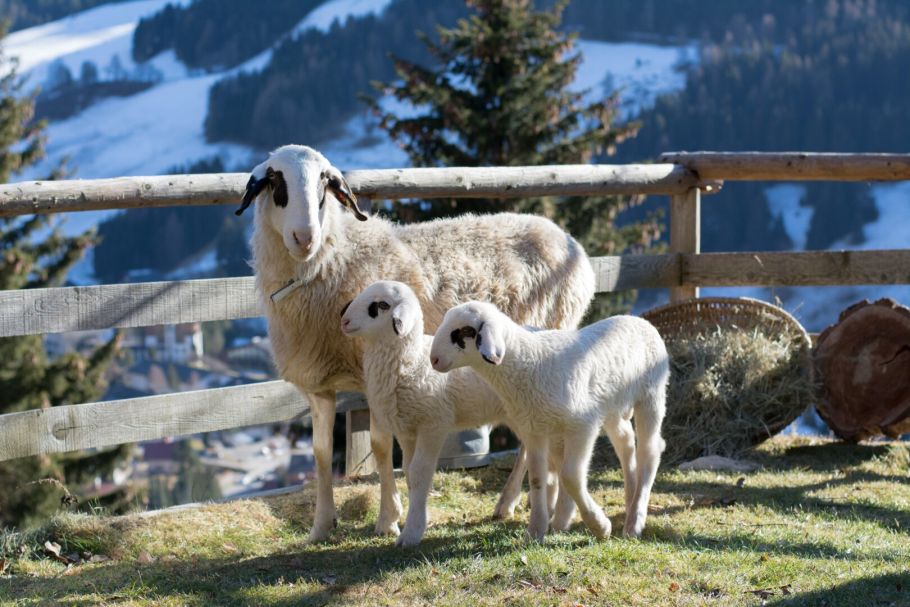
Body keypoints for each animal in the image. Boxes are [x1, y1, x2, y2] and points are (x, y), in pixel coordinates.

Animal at [237, 144, 595, 542]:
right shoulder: (319, 385)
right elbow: (320, 453)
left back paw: (512, 502)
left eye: (324, 184)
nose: (305, 237)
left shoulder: (375, 377)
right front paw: (321, 525)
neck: (332, 261)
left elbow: (380, 447)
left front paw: (388, 519)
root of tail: (565, 238)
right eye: (275, 181)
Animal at [429, 301, 669, 541]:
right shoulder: (535, 430)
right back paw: (629, 500)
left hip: (650, 396)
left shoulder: (582, 425)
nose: (433, 360)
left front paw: (599, 526)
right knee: (626, 442)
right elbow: (537, 478)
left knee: (650, 451)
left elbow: (570, 476)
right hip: (612, 407)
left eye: (464, 331)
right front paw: (536, 530)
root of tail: (639, 320)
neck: (530, 363)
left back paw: (635, 522)